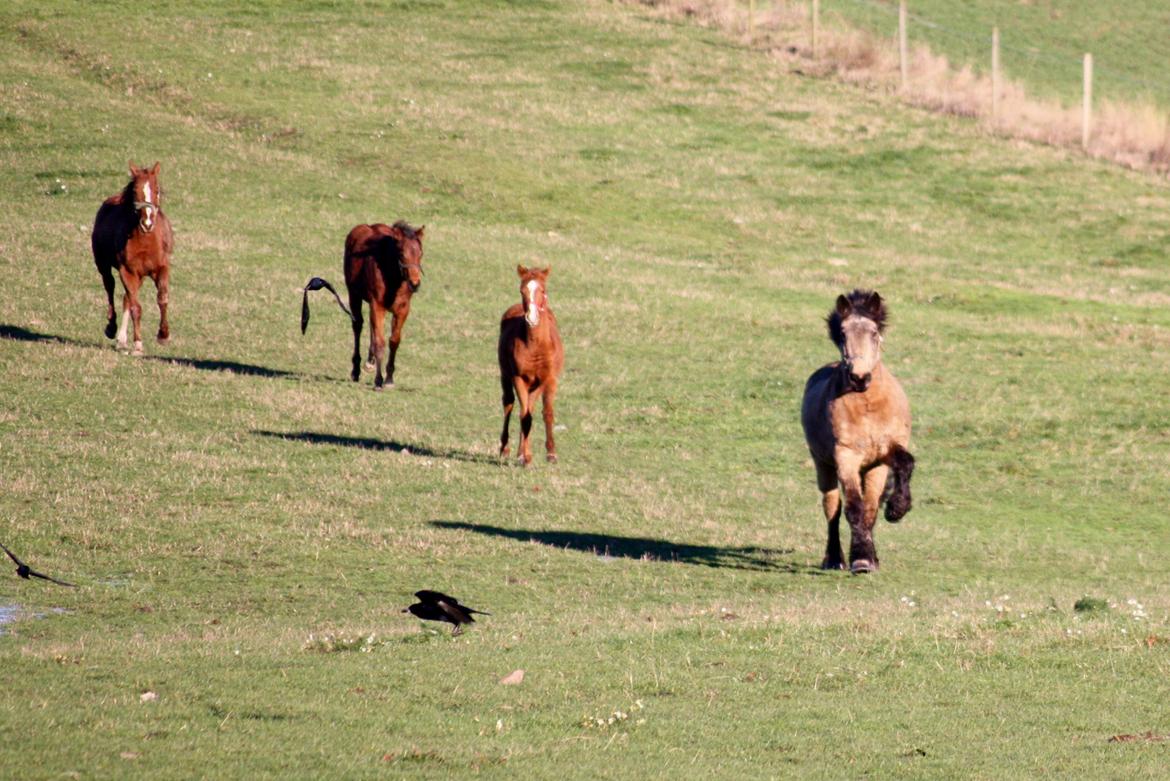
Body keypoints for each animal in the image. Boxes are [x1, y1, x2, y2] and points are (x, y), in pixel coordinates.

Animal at [91, 162, 171, 357]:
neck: (146, 240)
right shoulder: (127, 272)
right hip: (104, 266)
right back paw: (112, 329)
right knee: (110, 288)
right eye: (135, 191)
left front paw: (163, 335)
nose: (147, 223)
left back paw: (121, 340)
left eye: (157, 189)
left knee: (126, 298)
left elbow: (162, 298)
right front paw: (138, 345)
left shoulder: (161, 268)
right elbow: (136, 308)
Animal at [496, 265, 563, 467]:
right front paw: (524, 457)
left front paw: (550, 454)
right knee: (509, 405)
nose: (531, 318)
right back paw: (506, 449)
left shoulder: (546, 379)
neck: (536, 347)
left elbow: (541, 413)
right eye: (522, 291)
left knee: (530, 410)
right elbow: (524, 415)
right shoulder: (519, 378)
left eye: (543, 290)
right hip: (505, 375)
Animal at [804, 291, 912, 572]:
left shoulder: (885, 452)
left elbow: (905, 464)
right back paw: (835, 559)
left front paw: (897, 509)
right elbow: (853, 507)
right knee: (832, 507)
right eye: (843, 334)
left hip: (872, 468)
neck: (868, 406)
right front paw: (861, 559)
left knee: (870, 506)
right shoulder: (846, 456)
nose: (859, 377)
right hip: (823, 465)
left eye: (874, 333)